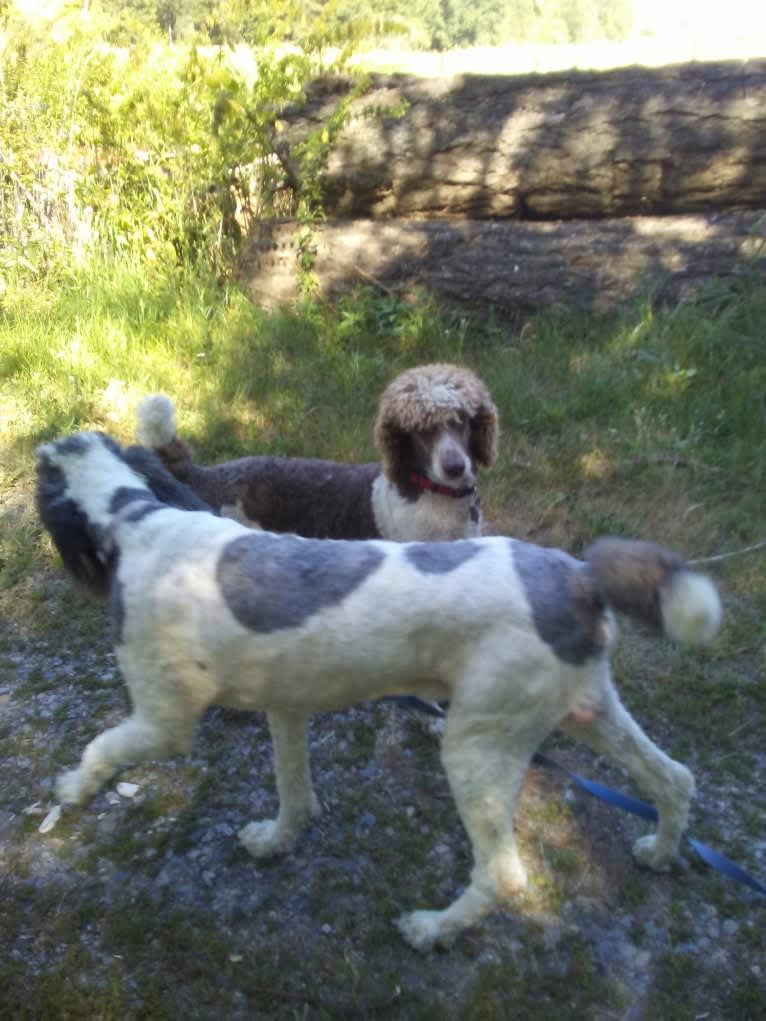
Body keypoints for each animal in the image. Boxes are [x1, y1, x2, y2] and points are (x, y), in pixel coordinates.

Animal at [32, 428, 723, 947]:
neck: (135, 518)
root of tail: (579, 576)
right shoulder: (286, 707)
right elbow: (295, 791)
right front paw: (277, 840)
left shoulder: (161, 724)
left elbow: (100, 749)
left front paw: (69, 790)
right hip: (590, 712)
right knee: (674, 778)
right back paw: (660, 850)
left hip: (476, 747)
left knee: (503, 873)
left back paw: (433, 929)